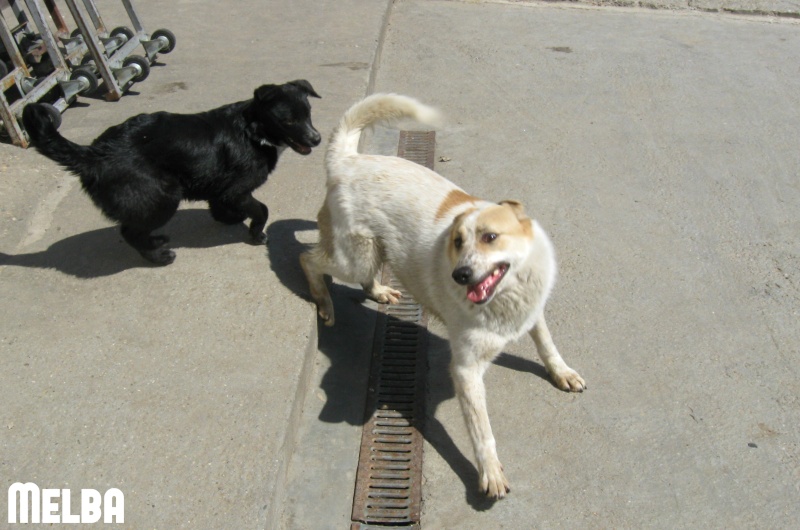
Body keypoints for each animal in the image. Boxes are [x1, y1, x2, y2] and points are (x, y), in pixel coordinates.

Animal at [22, 79, 322, 264]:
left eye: (308, 113)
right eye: (288, 120)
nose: (316, 139)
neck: (253, 130)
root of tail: (94, 152)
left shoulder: (222, 188)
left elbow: (220, 205)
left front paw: (230, 218)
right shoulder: (238, 189)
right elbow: (262, 210)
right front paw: (256, 234)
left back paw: (154, 241)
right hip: (164, 196)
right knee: (129, 232)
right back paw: (157, 257)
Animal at [304, 94, 584, 496]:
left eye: (489, 237)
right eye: (457, 242)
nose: (460, 274)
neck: (506, 300)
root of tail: (347, 159)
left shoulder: (533, 313)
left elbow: (548, 345)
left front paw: (562, 372)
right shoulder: (466, 369)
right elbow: (482, 431)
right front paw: (489, 472)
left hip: (369, 254)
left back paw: (378, 291)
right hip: (353, 257)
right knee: (308, 258)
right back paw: (323, 302)